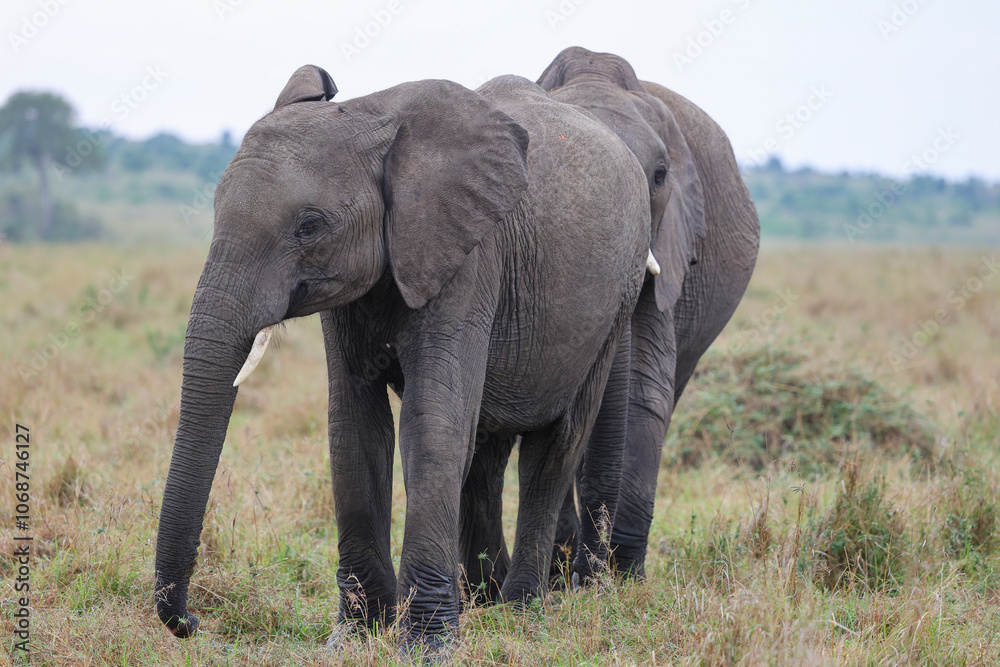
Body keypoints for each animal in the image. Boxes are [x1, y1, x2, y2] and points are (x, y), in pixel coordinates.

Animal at [153, 64, 651, 649]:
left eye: (309, 226)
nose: (192, 622)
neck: (373, 114)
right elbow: (354, 427)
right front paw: (356, 635)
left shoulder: (468, 258)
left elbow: (430, 424)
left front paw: (427, 644)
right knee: (486, 448)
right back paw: (484, 600)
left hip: (617, 299)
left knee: (555, 447)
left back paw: (520, 611)